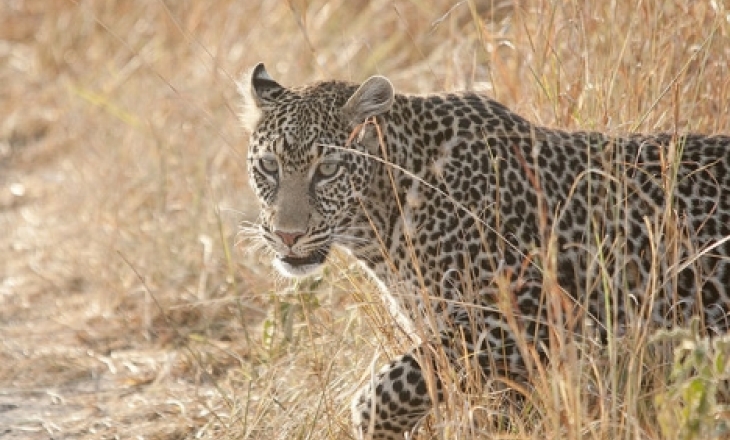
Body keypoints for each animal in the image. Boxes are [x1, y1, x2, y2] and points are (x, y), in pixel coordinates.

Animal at [238, 63, 730, 439]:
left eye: (328, 170)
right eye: (269, 167)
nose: (287, 236)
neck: (382, 220)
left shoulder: (529, 316)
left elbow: (387, 390)